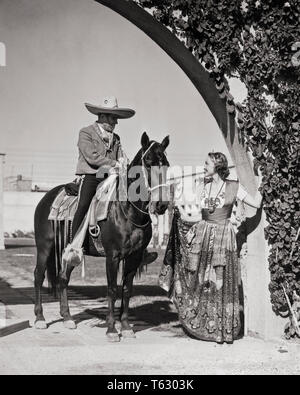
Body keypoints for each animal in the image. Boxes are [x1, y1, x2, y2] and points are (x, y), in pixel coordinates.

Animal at [34, 133, 170, 344]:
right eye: (148, 162)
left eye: (167, 165)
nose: (162, 204)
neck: (126, 210)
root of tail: (45, 198)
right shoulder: (112, 257)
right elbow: (112, 290)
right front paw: (112, 329)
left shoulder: (134, 258)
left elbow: (127, 290)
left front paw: (126, 327)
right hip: (44, 247)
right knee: (39, 276)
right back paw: (40, 318)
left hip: (70, 252)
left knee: (63, 278)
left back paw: (67, 318)